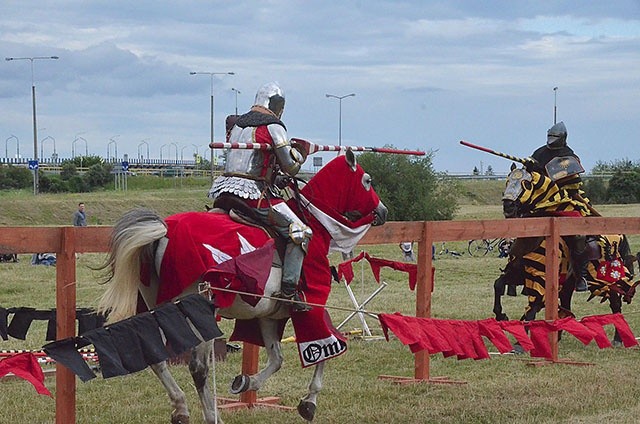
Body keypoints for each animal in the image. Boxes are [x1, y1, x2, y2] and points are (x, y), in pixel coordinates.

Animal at [97, 151, 388, 422]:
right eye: (367, 180)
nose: (383, 211)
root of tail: (163, 232)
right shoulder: (315, 305)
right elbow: (324, 351)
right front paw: (309, 402)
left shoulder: (269, 316)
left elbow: (277, 358)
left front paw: (246, 382)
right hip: (198, 310)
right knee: (198, 368)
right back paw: (212, 416)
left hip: (159, 306)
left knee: (156, 358)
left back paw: (181, 408)